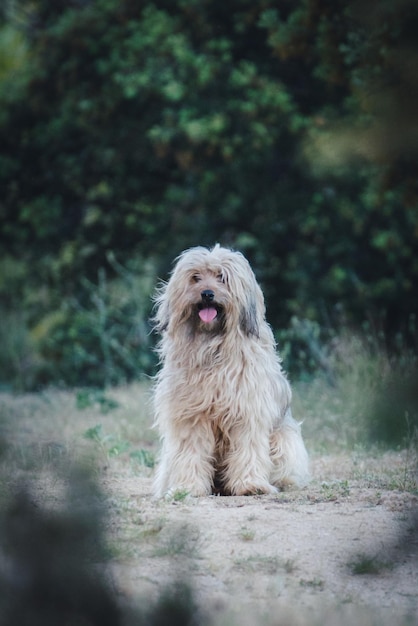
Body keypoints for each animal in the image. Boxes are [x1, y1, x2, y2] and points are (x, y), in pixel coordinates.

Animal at [152, 246, 308, 494]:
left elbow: (249, 448)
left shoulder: (247, 411)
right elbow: (190, 452)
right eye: (195, 277)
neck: (212, 347)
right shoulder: (191, 415)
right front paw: (188, 487)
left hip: (285, 439)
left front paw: (251, 484)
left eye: (222, 277)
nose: (207, 294)